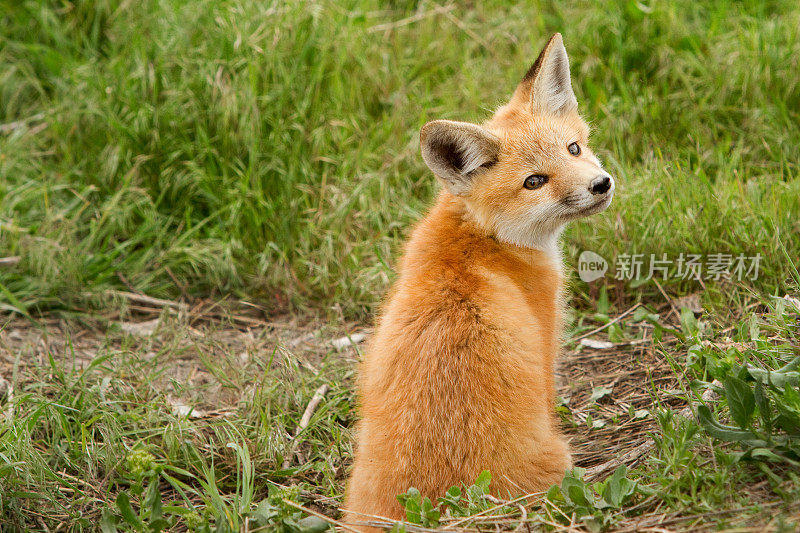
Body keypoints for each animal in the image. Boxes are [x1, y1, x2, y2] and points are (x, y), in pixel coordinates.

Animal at [342, 34, 612, 528]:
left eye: (573, 149)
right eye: (534, 182)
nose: (601, 184)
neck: (482, 236)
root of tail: (444, 509)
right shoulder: (546, 346)